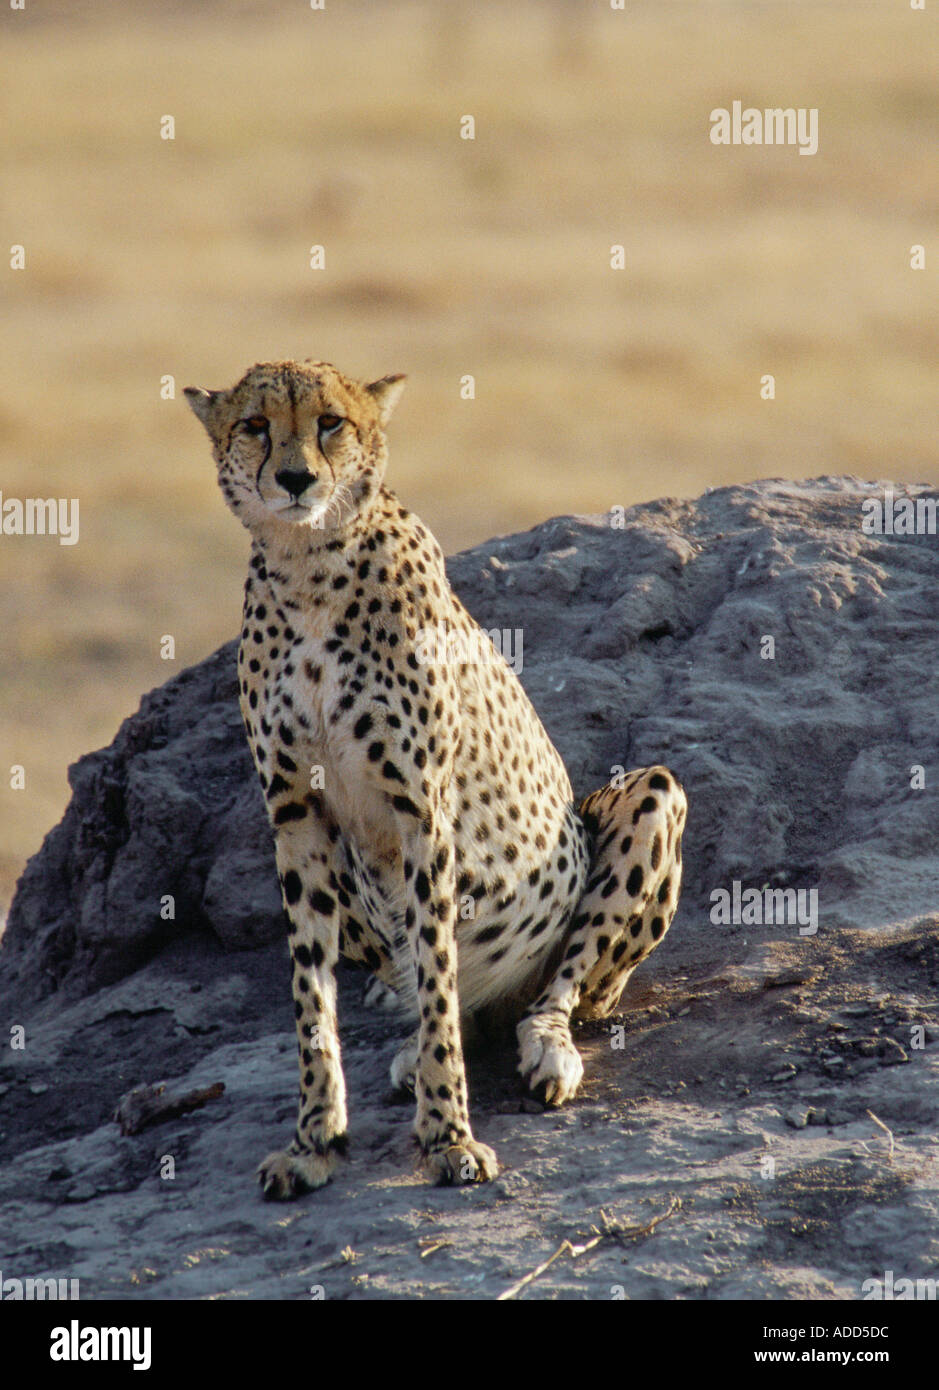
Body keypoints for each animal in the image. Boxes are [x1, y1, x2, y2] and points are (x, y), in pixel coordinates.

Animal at [184, 358, 683, 1195]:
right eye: (254, 425)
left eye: (330, 423)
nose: (295, 478)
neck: (308, 565)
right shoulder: (296, 816)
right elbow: (311, 997)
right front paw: (314, 1141)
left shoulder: (422, 812)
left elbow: (438, 977)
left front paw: (450, 1138)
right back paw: (410, 1057)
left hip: (648, 800)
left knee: (559, 990)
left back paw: (544, 1049)